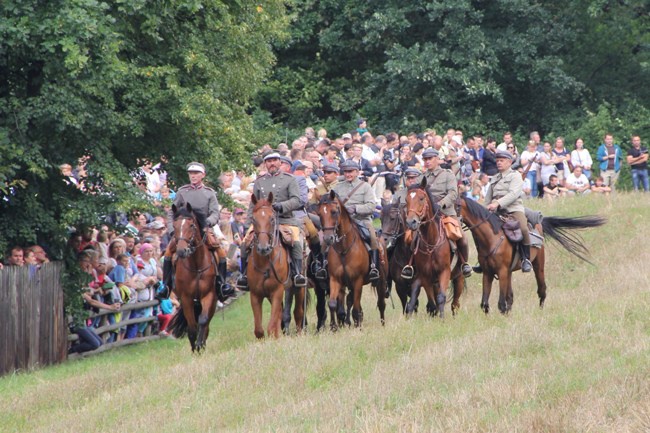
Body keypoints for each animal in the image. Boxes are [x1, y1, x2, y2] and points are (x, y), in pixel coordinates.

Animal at [166, 202, 219, 352]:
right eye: (175, 226)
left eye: (191, 225)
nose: (181, 251)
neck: (196, 266)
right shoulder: (186, 298)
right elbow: (192, 328)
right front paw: (195, 348)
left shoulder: (208, 295)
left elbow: (203, 321)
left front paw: (200, 345)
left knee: (206, 323)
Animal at [246, 192, 306, 338]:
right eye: (254, 220)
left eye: (272, 219)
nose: (263, 248)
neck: (265, 262)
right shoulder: (255, 294)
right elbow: (259, 330)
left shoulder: (277, 291)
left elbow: (271, 326)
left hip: (299, 288)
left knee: (298, 312)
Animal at [314, 190, 384, 330]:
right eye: (319, 214)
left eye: (334, 212)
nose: (328, 238)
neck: (344, 249)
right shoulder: (335, 279)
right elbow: (333, 304)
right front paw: (333, 327)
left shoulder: (358, 281)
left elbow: (356, 309)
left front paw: (358, 327)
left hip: (381, 281)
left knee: (381, 303)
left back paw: (382, 323)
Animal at [402, 179, 464, 318]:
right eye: (406, 200)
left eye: (421, 198)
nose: (411, 222)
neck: (431, 241)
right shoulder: (425, 276)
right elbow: (431, 299)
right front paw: (434, 312)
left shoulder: (444, 271)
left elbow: (441, 297)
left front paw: (441, 318)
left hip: (458, 275)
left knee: (456, 299)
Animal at [458, 197, 604, 314]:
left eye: (456, 205)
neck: (491, 237)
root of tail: (539, 222)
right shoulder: (488, 272)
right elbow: (485, 303)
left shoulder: (502, 271)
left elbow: (501, 303)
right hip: (509, 272)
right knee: (510, 297)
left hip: (538, 264)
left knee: (542, 289)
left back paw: (540, 310)